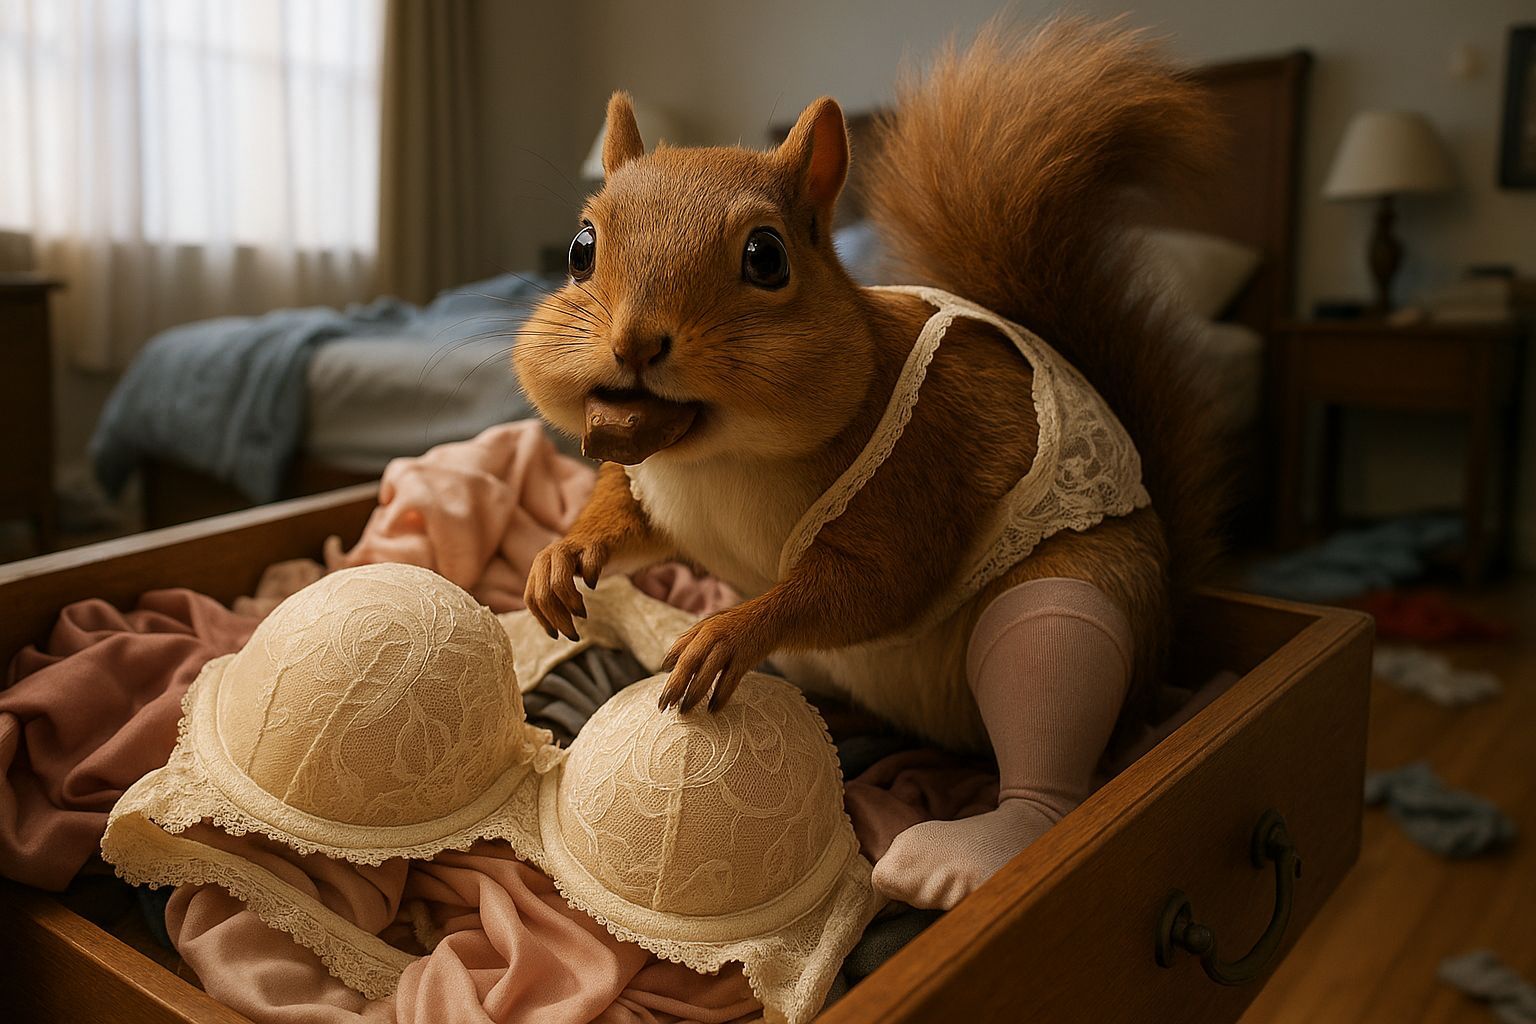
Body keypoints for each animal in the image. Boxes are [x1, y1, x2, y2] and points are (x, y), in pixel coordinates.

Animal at [514, 17, 1226, 907]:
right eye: (581, 249)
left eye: (767, 258)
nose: (636, 343)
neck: (716, 457)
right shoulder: (650, 483)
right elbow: (625, 521)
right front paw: (558, 559)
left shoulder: (925, 458)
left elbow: (877, 583)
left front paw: (731, 630)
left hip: (1075, 601)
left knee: (1048, 709)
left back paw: (969, 853)